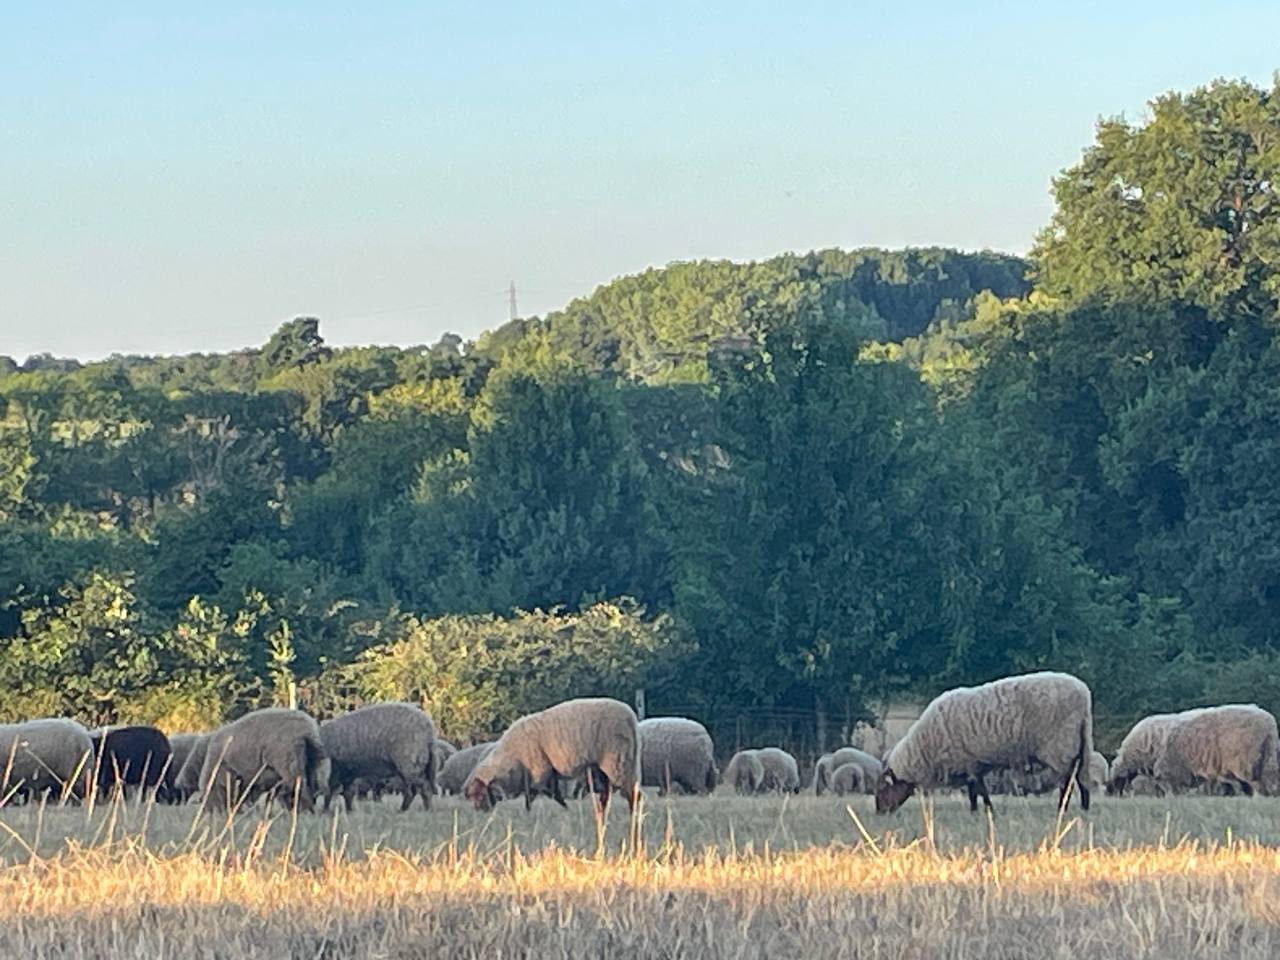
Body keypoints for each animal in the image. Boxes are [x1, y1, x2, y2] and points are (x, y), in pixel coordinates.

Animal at [199, 708, 330, 813]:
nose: (210, 812)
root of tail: (307, 730)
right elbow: (244, 793)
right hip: (312, 761)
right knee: (310, 785)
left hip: (289, 763)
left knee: (300, 785)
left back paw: (303, 810)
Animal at [465, 698, 640, 813]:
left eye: (481, 795)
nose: (480, 813)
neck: (511, 757)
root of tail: (630, 715)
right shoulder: (547, 773)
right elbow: (554, 795)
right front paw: (566, 809)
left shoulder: (540, 773)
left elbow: (536, 796)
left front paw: (530, 813)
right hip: (606, 765)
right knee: (607, 793)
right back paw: (602, 812)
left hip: (617, 761)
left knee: (631, 792)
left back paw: (633, 815)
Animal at [875, 671, 1094, 815]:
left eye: (883, 789)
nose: (880, 813)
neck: (925, 747)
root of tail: (1083, 693)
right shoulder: (972, 763)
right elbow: (975, 790)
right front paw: (976, 811)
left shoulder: (969, 762)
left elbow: (979, 790)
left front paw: (987, 810)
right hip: (1077, 743)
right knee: (1080, 776)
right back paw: (1084, 808)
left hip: (1059, 746)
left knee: (1067, 780)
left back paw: (1062, 808)